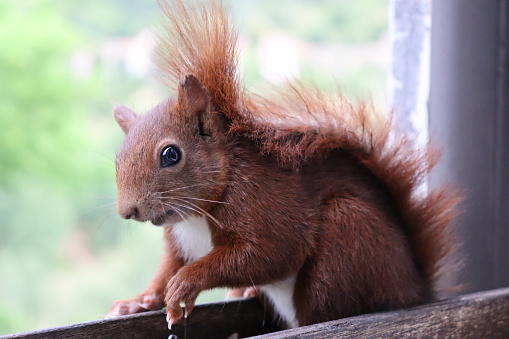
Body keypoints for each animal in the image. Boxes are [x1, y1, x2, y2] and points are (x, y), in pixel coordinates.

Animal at [105, 0, 458, 330]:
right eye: (118, 158)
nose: (128, 211)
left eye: (171, 155)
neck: (197, 215)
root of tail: (414, 289)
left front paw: (186, 284)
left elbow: (269, 253)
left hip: (347, 231)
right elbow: (167, 270)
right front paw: (136, 302)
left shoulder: (263, 203)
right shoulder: (180, 241)